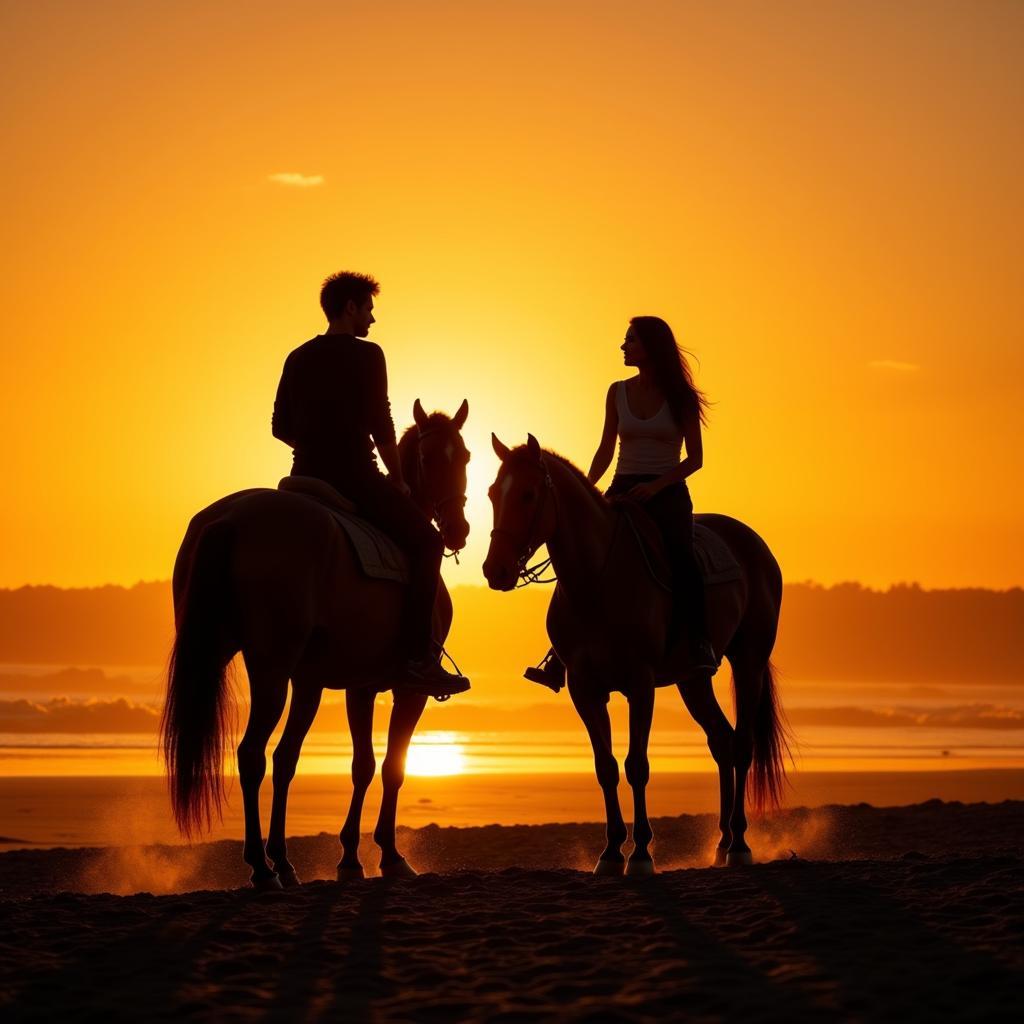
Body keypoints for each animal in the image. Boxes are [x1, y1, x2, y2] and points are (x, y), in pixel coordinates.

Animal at [160, 399, 471, 888]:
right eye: (430, 459)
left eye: (465, 458)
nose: (458, 529)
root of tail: (230, 520)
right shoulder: (408, 690)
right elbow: (392, 767)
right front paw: (388, 855)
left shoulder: (340, 684)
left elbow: (330, 763)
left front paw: (343, 858)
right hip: (270, 666)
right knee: (250, 754)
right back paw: (258, 867)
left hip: (214, 653)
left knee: (268, 756)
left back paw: (277, 866)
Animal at [483, 436, 786, 876]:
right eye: (492, 493)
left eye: (527, 494)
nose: (495, 570)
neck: (597, 580)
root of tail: (755, 546)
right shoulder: (585, 689)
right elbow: (606, 767)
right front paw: (610, 852)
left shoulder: (640, 684)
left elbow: (637, 766)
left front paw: (641, 853)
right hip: (693, 680)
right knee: (722, 741)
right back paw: (721, 843)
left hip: (749, 662)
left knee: (743, 744)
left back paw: (740, 845)